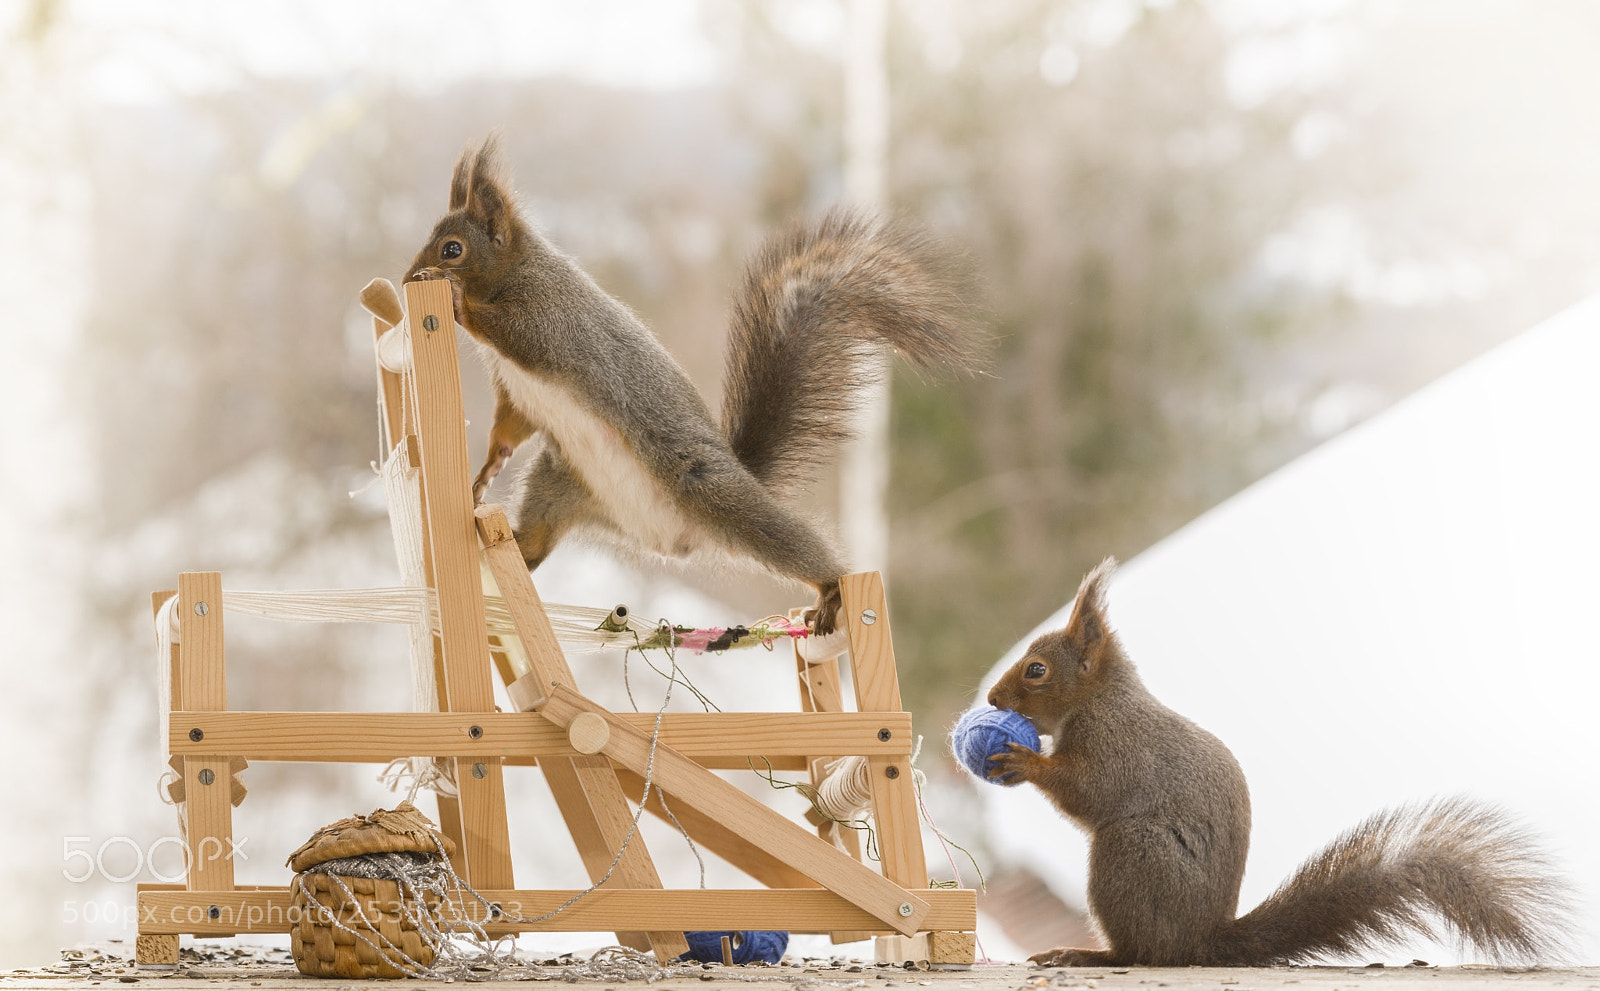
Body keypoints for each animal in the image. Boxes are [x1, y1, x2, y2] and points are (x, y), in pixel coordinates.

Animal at [403, 136, 982, 634]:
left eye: (452, 249)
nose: (410, 277)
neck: (514, 273)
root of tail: (667, 537)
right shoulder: (515, 390)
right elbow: (510, 424)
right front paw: (488, 467)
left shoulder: (549, 324)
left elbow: (506, 329)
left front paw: (455, 298)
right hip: (559, 483)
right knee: (534, 545)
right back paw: (503, 547)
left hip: (709, 491)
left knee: (787, 541)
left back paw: (831, 587)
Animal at [986, 557, 1570, 967]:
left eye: (1036, 670)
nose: (991, 698)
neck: (1099, 699)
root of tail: (1203, 941)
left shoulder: (1118, 745)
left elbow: (1089, 790)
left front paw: (1024, 761)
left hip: (1130, 854)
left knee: (1143, 954)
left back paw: (1087, 953)